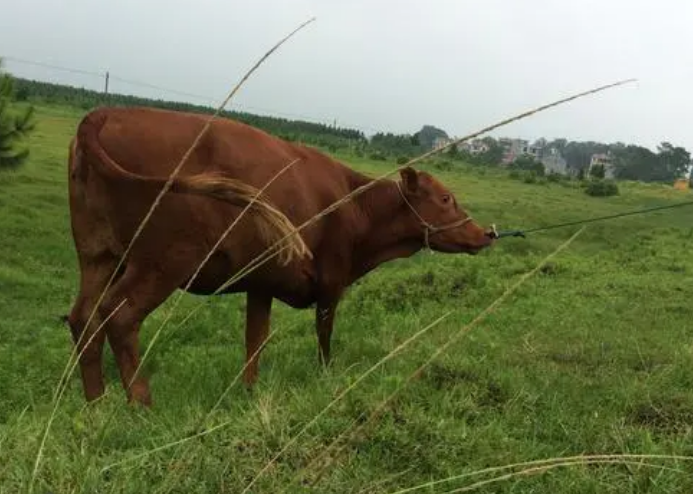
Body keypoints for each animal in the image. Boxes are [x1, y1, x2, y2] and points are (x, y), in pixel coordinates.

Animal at [65, 105, 494, 406]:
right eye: (446, 198)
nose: (487, 233)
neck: (353, 203)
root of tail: (107, 112)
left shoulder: (262, 282)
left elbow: (256, 339)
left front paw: (249, 391)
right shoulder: (331, 279)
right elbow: (324, 334)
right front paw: (325, 376)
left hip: (99, 255)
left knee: (85, 318)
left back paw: (95, 404)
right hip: (163, 261)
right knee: (120, 317)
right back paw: (141, 404)